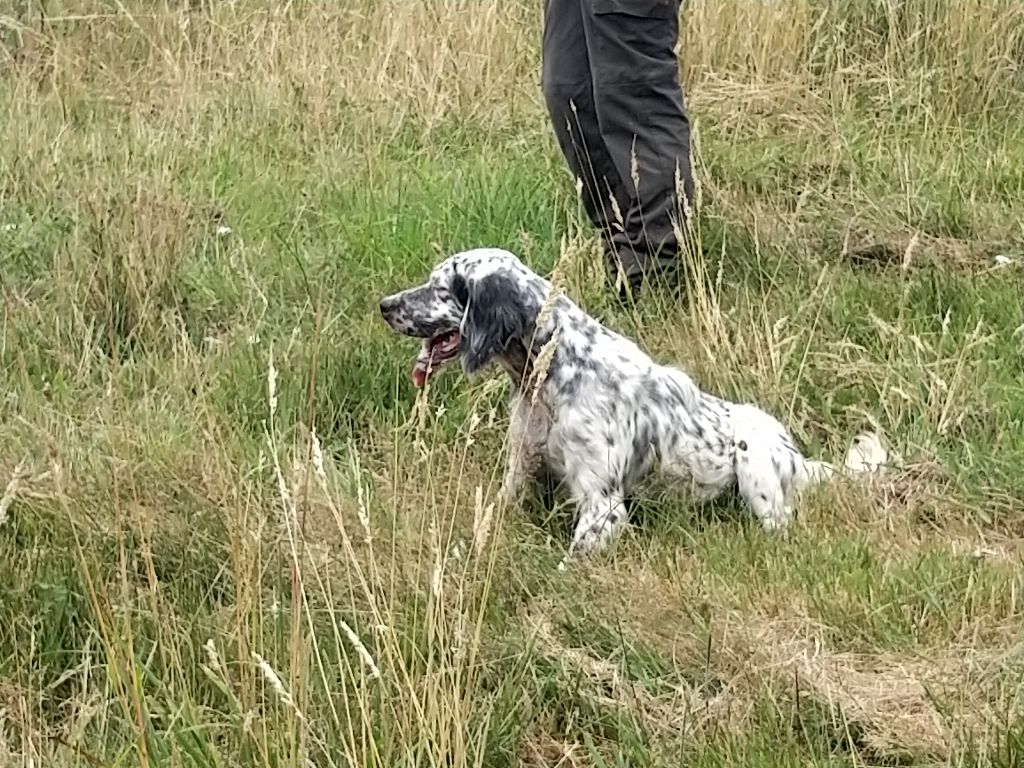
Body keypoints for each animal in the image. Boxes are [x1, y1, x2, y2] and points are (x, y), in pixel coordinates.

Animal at [378, 249, 880, 561]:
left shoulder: (602, 508)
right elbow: (484, 524)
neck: (553, 371)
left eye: (440, 288)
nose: (384, 304)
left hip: (754, 461)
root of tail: (800, 459)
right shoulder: (518, 477)